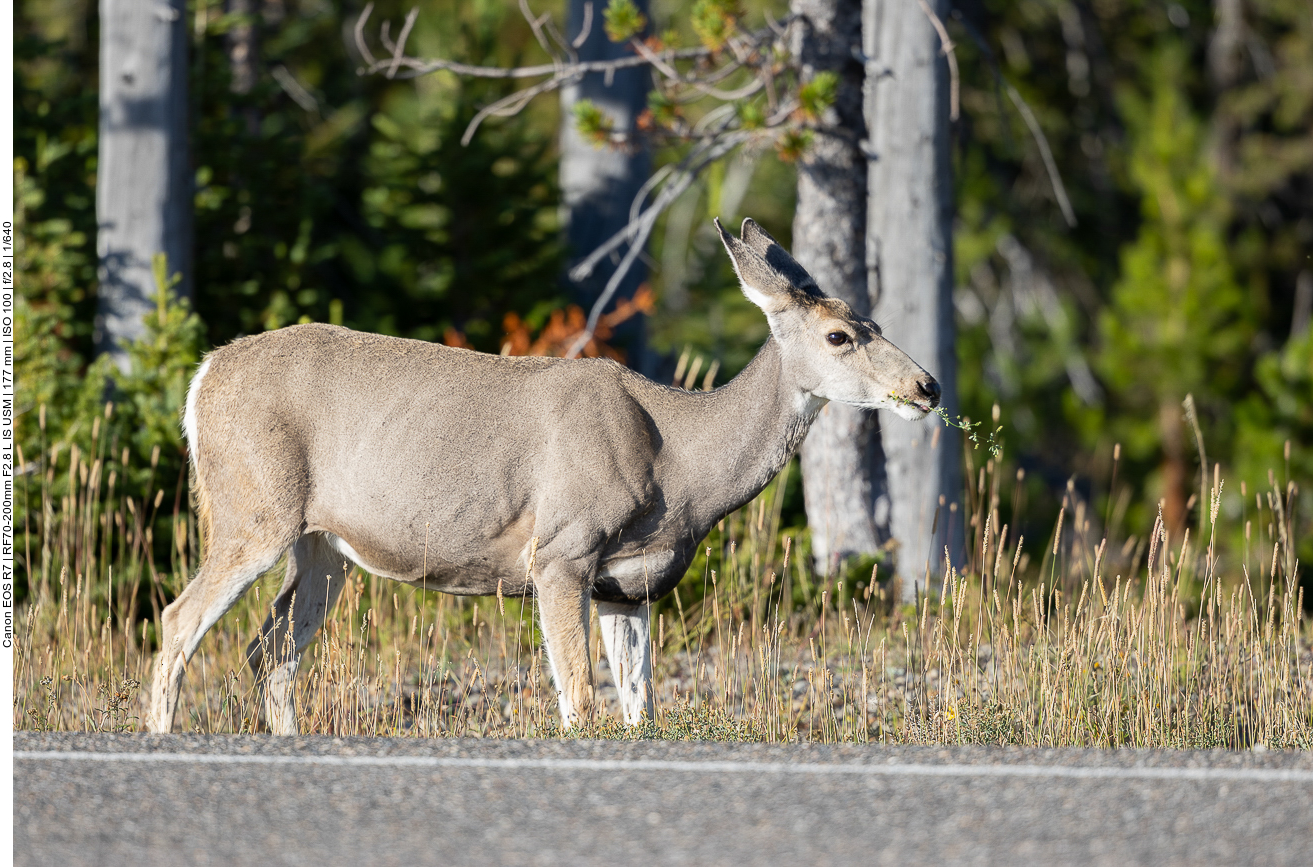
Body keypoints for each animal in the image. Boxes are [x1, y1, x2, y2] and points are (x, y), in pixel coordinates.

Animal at [149, 216, 940, 730]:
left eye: (873, 320)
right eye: (838, 336)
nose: (926, 386)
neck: (679, 462)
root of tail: (202, 376)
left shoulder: (630, 585)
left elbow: (638, 709)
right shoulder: (561, 549)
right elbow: (578, 702)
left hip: (322, 547)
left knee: (270, 653)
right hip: (254, 507)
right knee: (179, 620)